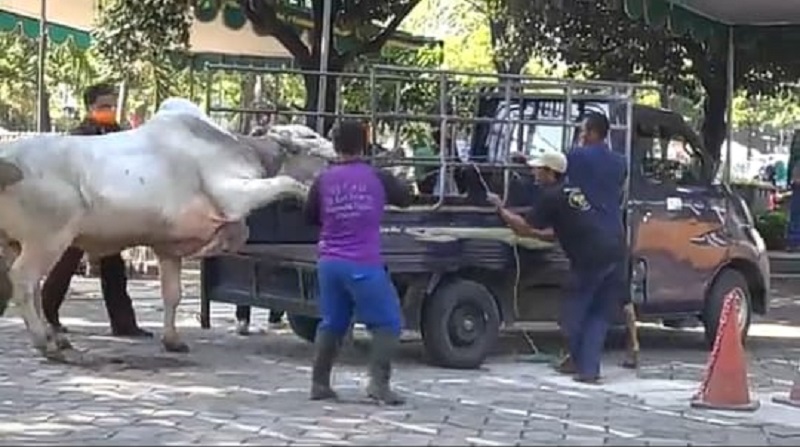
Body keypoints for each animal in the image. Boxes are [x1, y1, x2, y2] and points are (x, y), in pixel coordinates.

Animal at [0, 97, 334, 360]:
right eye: (309, 135)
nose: (334, 148)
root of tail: (9, 156)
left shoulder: (167, 248)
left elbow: (172, 294)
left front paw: (173, 340)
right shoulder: (230, 193)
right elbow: (282, 188)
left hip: (19, 242)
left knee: (29, 285)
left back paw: (54, 337)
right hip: (49, 237)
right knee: (24, 280)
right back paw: (46, 342)